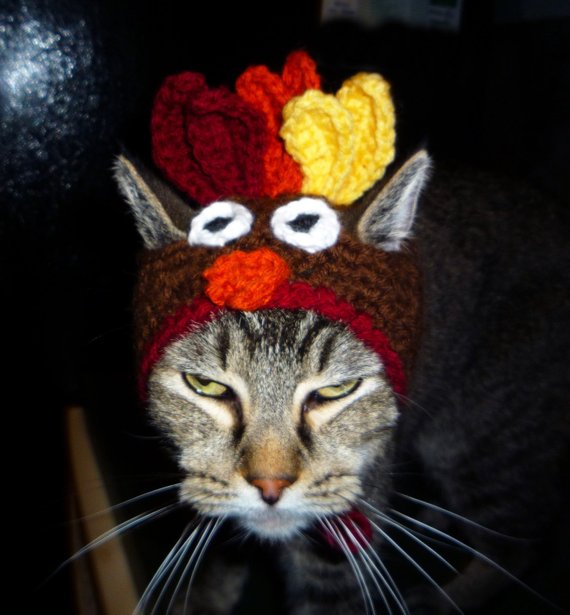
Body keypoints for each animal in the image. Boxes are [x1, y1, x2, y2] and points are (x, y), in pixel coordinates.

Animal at [113, 148, 570, 614]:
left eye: (336, 390)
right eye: (207, 386)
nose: (270, 486)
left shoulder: (339, 548)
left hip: (481, 439)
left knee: (516, 544)